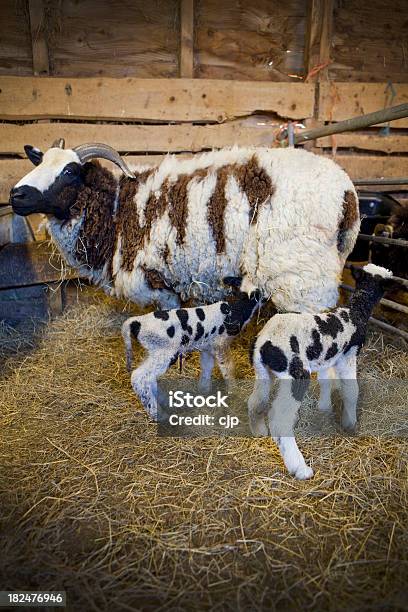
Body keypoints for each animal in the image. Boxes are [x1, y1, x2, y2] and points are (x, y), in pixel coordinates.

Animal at [121, 286, 262, 420]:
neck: (235, 309)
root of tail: (137, 322)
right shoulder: (221, 344)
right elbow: (228, 368)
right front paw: (234, 391)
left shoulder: (208, 346)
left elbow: (207, 366)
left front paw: (204, 390)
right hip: (164, 353)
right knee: (139, 377)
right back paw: (159, 415)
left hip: (154, 353)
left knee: (148, 378)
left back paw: (166, 402)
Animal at [247, 266, 400, 480]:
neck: (356, 311)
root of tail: (264, 343)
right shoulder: (348, 356)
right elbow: (352, 390)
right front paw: (349, 422)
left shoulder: (328, 359)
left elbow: (326, 382)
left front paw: (325, 406)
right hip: (297, 373)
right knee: (279, 420)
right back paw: (300, 468)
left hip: (262, 372)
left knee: (255, 401)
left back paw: (258, 430)